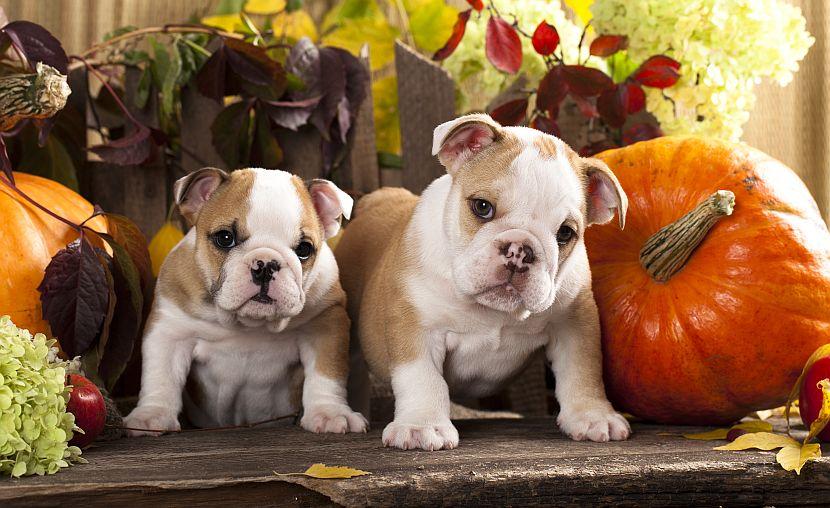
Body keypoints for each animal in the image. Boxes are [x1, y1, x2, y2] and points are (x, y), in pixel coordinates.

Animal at [124, 168, 368, 436]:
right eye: (225, 238)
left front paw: (329, 412)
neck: (249, 325)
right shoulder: (171, 330)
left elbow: (327, 373)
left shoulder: (324, 324)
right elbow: (161, 375)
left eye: (304, 249)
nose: (266, 265)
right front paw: (152, 415)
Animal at [338, 114, 632, 448]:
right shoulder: (417, 327)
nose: (520, 251)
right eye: (482, 207)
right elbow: (423, 378)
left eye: (565, 233)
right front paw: (422, 425)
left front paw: (593, 416)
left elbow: (582, 370)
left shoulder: (574, 322)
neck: (491, 310)